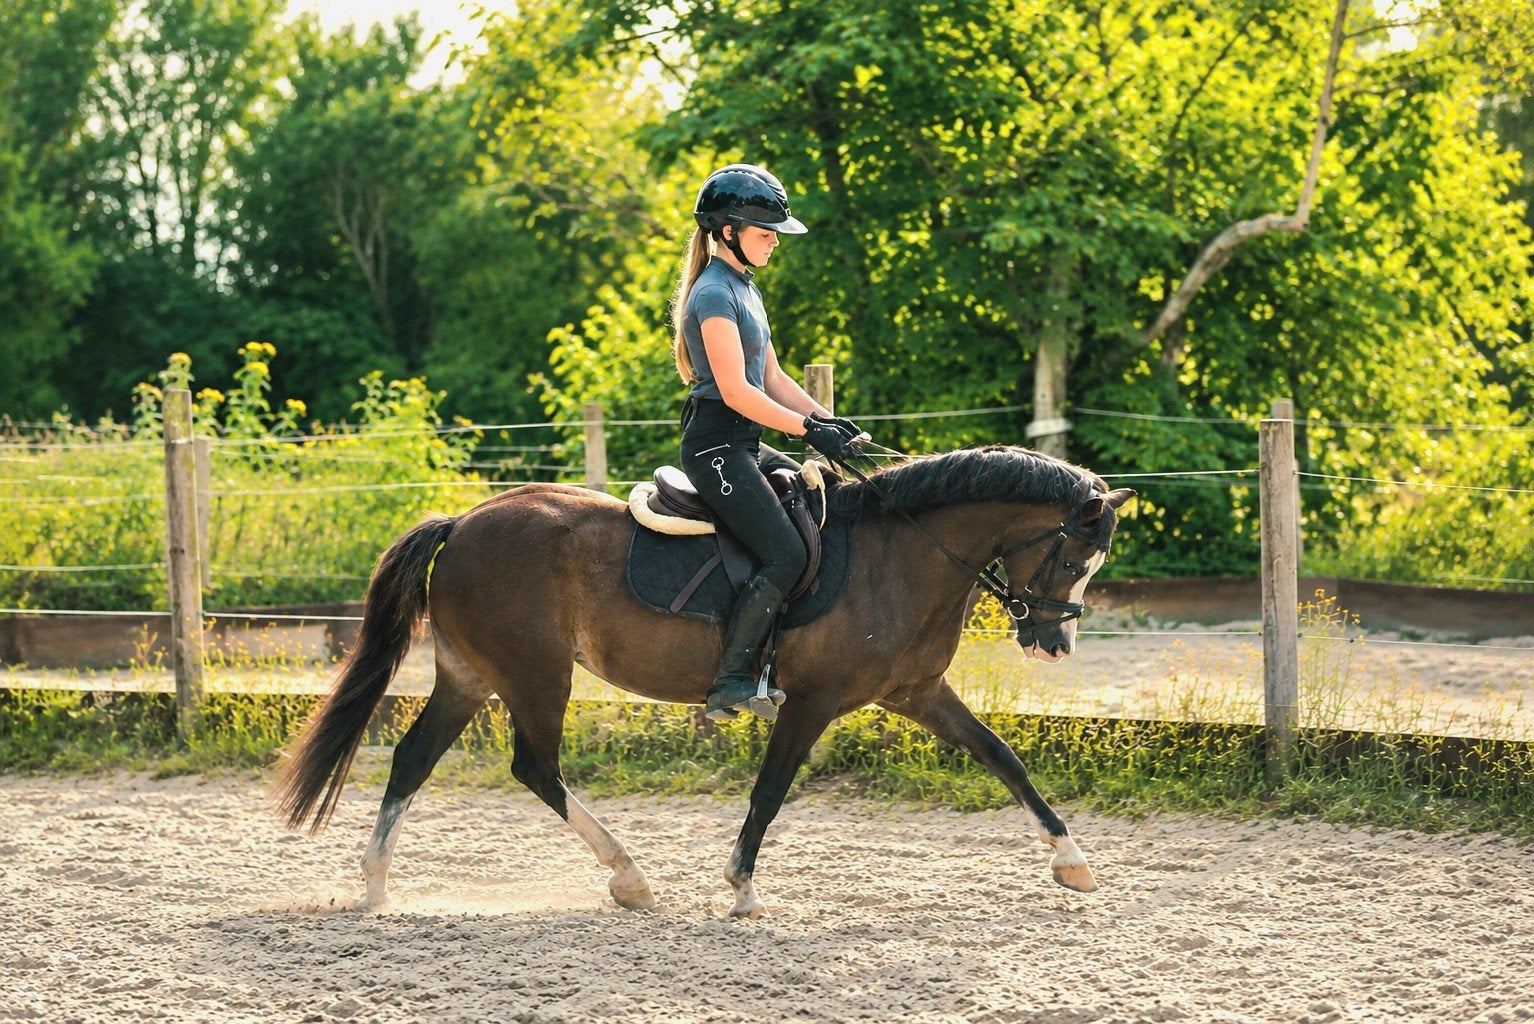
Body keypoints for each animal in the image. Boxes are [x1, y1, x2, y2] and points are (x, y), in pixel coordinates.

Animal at [274, 445, 1134, 919]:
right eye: (1072, 555)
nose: (1054, 642)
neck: (902, 553)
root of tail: (462, 524)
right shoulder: (812, 702)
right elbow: (770, 791)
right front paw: (742, 890)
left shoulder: (914, 693)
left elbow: (1002, 756)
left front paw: (1073, 862)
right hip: (534, 674)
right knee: (535, 767)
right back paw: (630, 877)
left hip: (470, 676)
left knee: (413, 759)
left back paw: (376, 885)